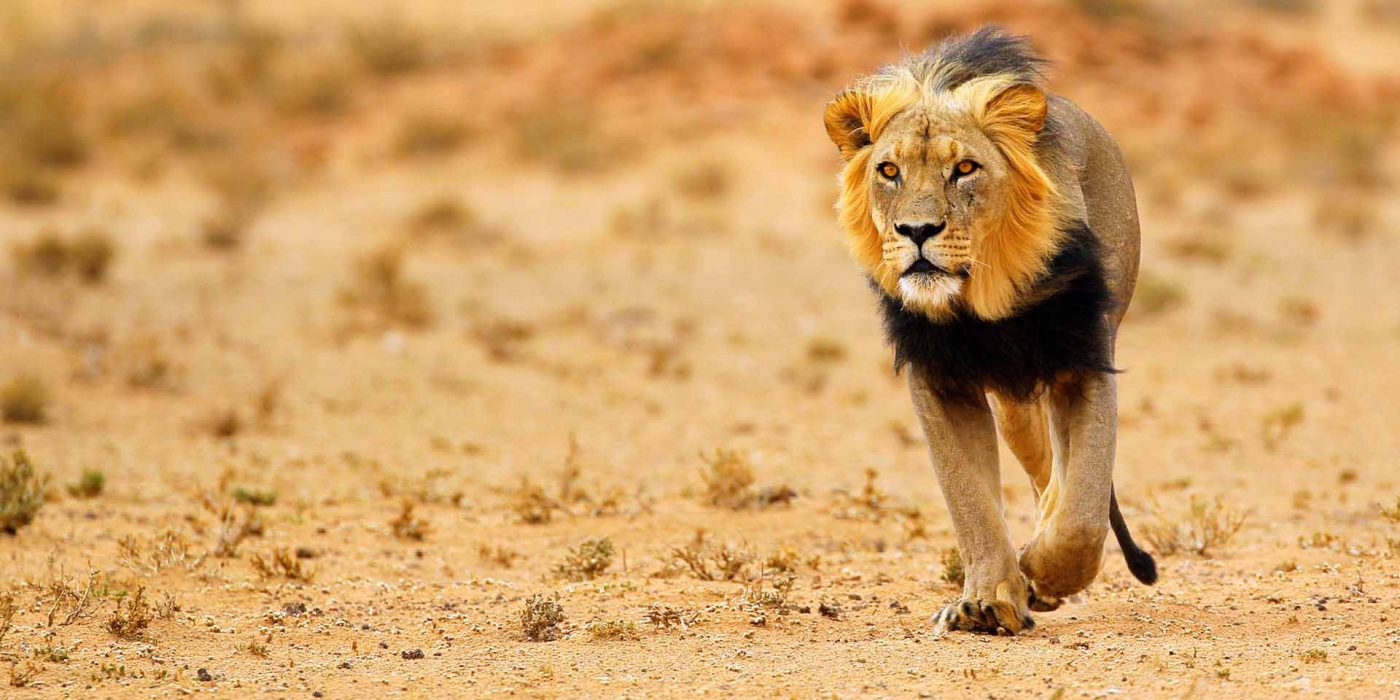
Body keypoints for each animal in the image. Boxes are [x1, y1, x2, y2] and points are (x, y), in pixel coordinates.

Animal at [822, 27, 1157, 635]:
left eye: (965, 169)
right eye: (889, 171)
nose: (917, 230)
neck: (980, 302)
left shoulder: (1083, 362)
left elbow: (1083, 513)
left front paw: (1045, 571)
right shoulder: (940, 379)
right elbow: (970, 500)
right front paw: (989, 599)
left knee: (1062, 479)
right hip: (1012, 403)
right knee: (1041, 467)